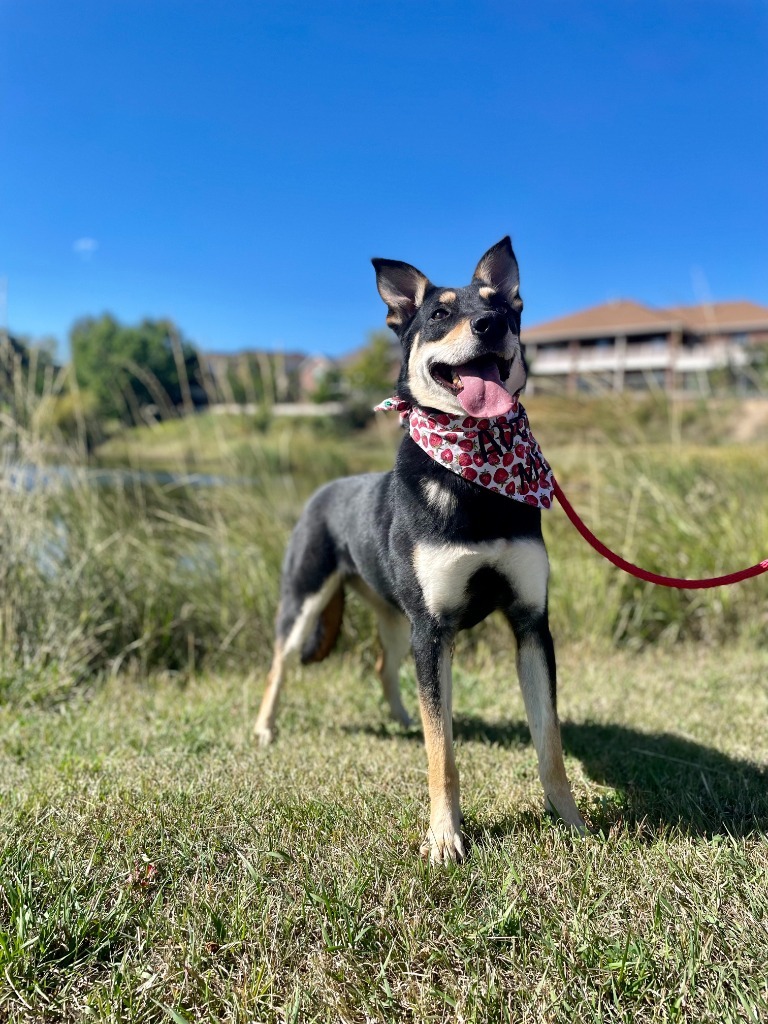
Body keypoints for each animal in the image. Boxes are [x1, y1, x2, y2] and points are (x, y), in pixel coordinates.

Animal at [256, 239, 585, 864]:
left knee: (384, 665)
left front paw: (572, 820)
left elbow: (549, 738)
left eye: (502, 308)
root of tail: (322, 490)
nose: (488, 326)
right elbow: (443, 753)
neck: (474, 471)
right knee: (279, 663)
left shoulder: (531, 622)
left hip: (391, 614)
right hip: (305, 599)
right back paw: (264, 727)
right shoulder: (432, 631)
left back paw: (402, 717)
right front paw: (445, 836)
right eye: (439, 313)